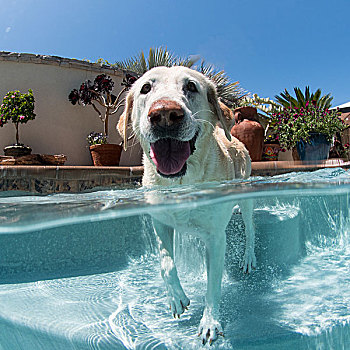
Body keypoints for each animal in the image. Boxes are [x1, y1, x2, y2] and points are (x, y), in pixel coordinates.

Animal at [118, 65, 258, 344]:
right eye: (146, 88)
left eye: (191, 87)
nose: (164, 114)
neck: (182, 182)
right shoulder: (160, 222)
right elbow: (166, 262)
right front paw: (176, 298)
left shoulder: (215, 238)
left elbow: (212, 285)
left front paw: (210, 322)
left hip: (245, 190)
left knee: (250, 228)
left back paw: (249, 256)